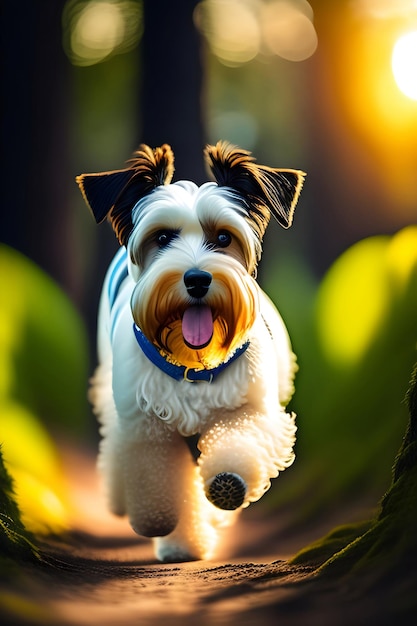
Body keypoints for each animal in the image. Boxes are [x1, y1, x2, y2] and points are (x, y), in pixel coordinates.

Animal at [76, 143, 304, 560]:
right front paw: (161, 523)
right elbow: (160, 482)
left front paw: (228, 482)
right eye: (162, 237)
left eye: (224, 237)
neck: (191, 363)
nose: (197, 279)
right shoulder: (146, 427)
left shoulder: (251, 410)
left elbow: (238, 444)